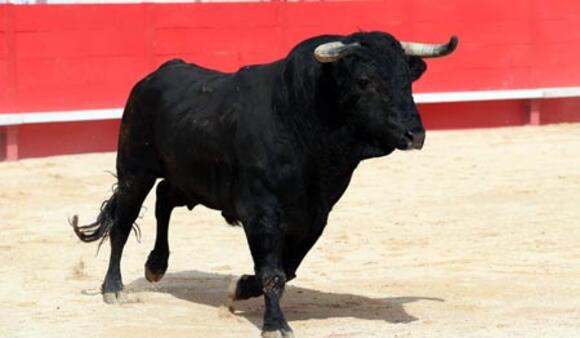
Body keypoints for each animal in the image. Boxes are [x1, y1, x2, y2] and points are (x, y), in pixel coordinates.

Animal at [70, 31, 458, 336]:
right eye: (364, 81)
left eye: (407, 81)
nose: (415, 134)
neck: (303, 118)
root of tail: (155, 75)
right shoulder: (262, 213)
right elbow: (273, 271)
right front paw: (275, 325)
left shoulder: (315, 217)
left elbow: (287, 268)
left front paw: (239, 288)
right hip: (135, 170)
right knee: (122, 223)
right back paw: (113, 288)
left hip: (194, 181)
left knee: (165, 196)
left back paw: (156, 266)